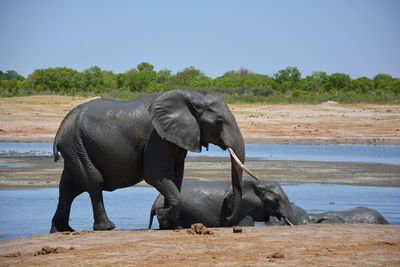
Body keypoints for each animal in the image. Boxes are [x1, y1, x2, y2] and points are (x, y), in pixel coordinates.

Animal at [50, 89, 250, 232]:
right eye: (219, 122)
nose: (227, 219)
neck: (193, 97)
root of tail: (61, 128)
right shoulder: (157, 137)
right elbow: (154, 173)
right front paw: (162, 217)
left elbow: (177, 175)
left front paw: (170, 225)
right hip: (75, 144)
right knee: (93, 181)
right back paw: (106, 227)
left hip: (75, 147)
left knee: (69, 187)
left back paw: (62, 230)